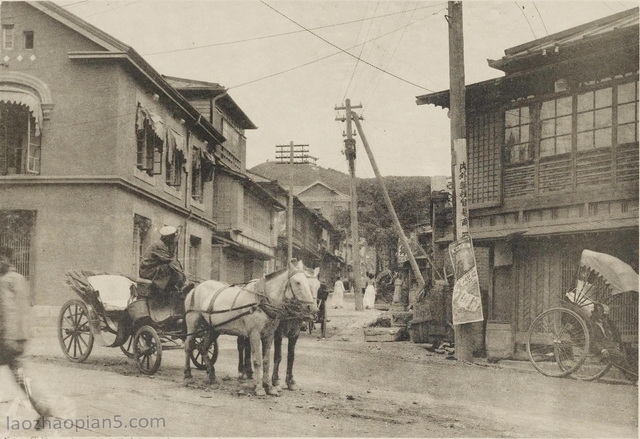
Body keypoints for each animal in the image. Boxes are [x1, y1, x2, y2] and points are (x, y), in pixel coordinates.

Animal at [182, 260, 318, 398]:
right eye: (297, 282)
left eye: (315, 285)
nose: (312, 309)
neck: (262, 301)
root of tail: (196, 288)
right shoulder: (255, 334)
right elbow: (257, 360)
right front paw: (259, 388)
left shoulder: (269, 335)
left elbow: (266, 360)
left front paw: (269, 386)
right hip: (193, 323)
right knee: (189, 346)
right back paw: (188, 375)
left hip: (213, 329)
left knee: (203, 347)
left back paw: (212, 375)